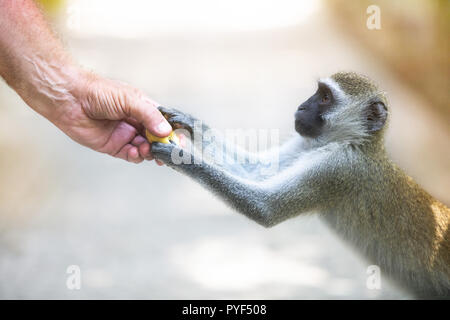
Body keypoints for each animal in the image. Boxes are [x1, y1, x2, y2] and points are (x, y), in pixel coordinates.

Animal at [152, 72, 450, 298]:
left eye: (326, 98)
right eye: (317, 93)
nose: (302, 106)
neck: (354, 143)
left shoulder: (338, 169)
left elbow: (265, 207)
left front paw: (182, 157)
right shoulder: (308, 144)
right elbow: (257, 170)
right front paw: (192, 124)